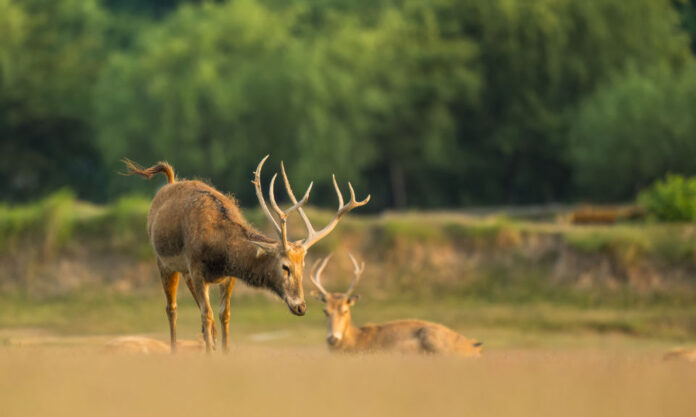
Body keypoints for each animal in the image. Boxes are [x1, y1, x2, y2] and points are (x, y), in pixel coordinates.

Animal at [122, 155, 370, 353]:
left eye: (303, 267)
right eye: (285, 266)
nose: (301, 306)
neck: (222, 252)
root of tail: (170, 182)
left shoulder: (226, 277)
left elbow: (223, 315)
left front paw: (224, 353)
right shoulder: (197, 269)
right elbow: (207, 314)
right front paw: (210, 355)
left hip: (185, 273)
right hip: (164, 262)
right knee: (172, 309)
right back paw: (174, 351)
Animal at [310, 254, 483, 356]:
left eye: (345, 310)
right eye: (325, 311)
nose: (332, 339)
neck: (356, 340)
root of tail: (475, 347)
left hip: (433, 338)